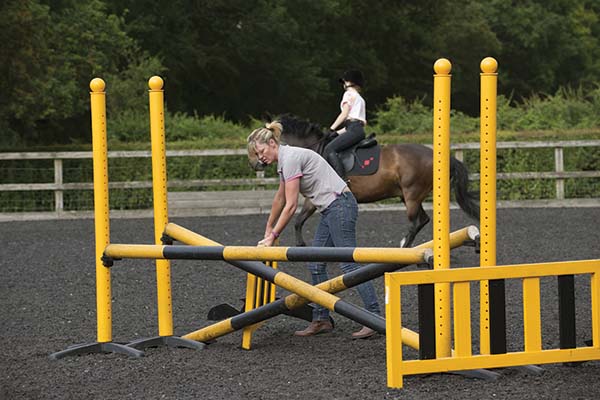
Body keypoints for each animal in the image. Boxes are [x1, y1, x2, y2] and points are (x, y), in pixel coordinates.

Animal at [247, 114, 478, 248]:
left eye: (257, 150)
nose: (255, 165)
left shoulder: (312, 200)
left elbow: (298, 221)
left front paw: (301, 245)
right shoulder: (312, 200)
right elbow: (300, 221)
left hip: (412, 194)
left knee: (416, 221)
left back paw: (404, 247)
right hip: (408, 196)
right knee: (422, 220)